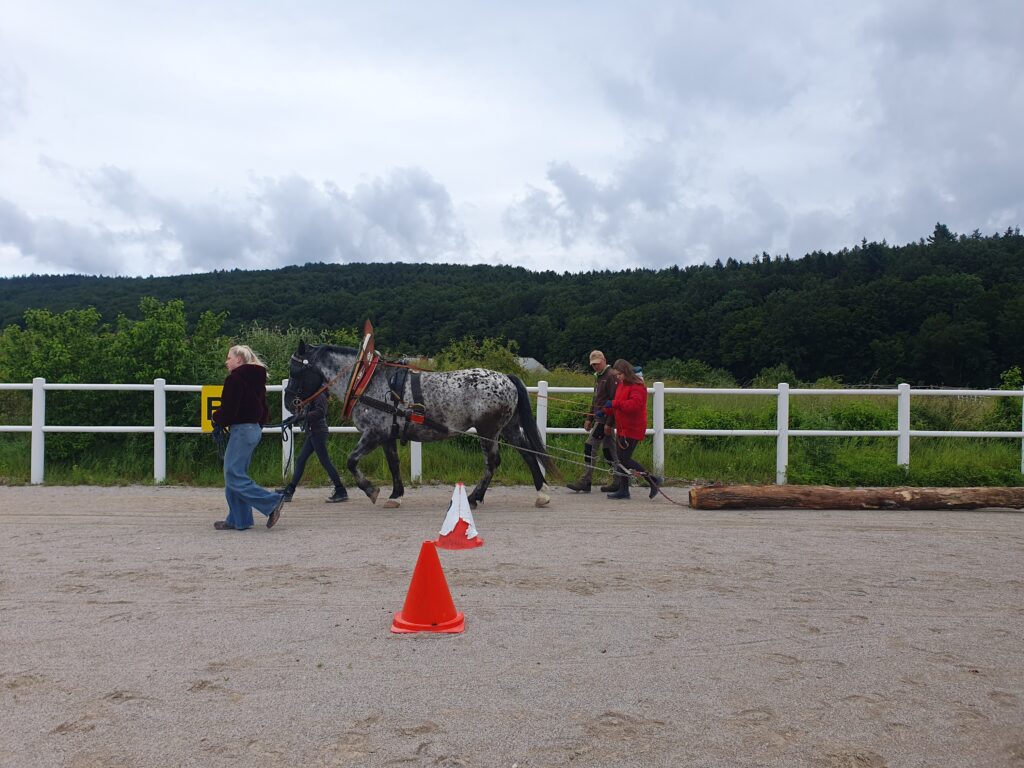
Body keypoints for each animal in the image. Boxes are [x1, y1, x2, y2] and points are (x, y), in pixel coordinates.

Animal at [284, 342, 557, 512]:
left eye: (296, 370)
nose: (288, 402)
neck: (368, 382)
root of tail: (506, 378)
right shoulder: (387, 436)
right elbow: (393, 464)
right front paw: (395, 495)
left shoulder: (375, 434)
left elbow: (351, 461)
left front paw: (371, 490)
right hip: (508, 428)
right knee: (527, 454)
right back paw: (541, 493)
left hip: (487, 431)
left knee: (492, 463)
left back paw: (473, 497)